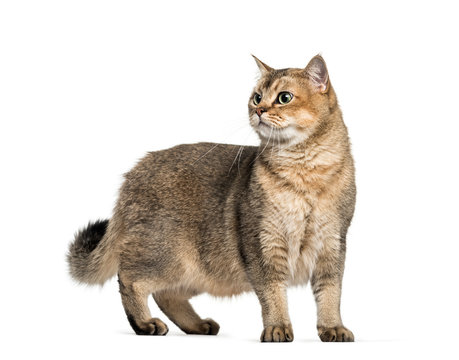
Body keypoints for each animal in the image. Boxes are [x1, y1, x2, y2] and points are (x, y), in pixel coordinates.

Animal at [67, 54, 356, 342]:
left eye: (284, 97)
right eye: (257, 97)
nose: (259, 111)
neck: (305, 172)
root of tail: (135, 172)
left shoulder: (333, 243)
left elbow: (331, 293)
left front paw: (333, 328)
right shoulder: (263, 242)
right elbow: (272, 292)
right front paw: (277, 327)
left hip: (203, 270)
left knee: (165, 294)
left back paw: (197, 326)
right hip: (168, 255)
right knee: (129, 278)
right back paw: (145, 324)